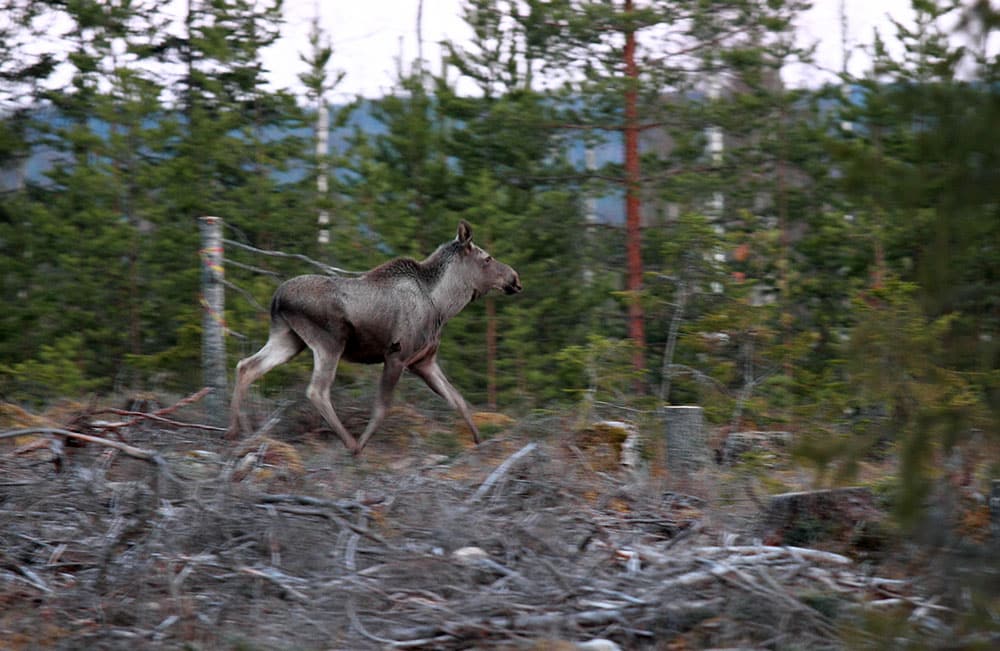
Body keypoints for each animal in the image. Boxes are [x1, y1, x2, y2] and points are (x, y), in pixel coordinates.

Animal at [228, 222, 524, 456]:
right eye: (487, 258)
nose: (515, 278)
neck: (442, 305)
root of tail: (277, 298)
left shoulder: (424, 362)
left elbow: (458, 399)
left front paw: (479, 441)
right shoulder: (396, 356)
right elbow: (382, 408)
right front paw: (363, 444)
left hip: (288, 340)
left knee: (247, 366)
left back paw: (238, 432)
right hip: (329, 342)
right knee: (317, 390)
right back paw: (351, 444)